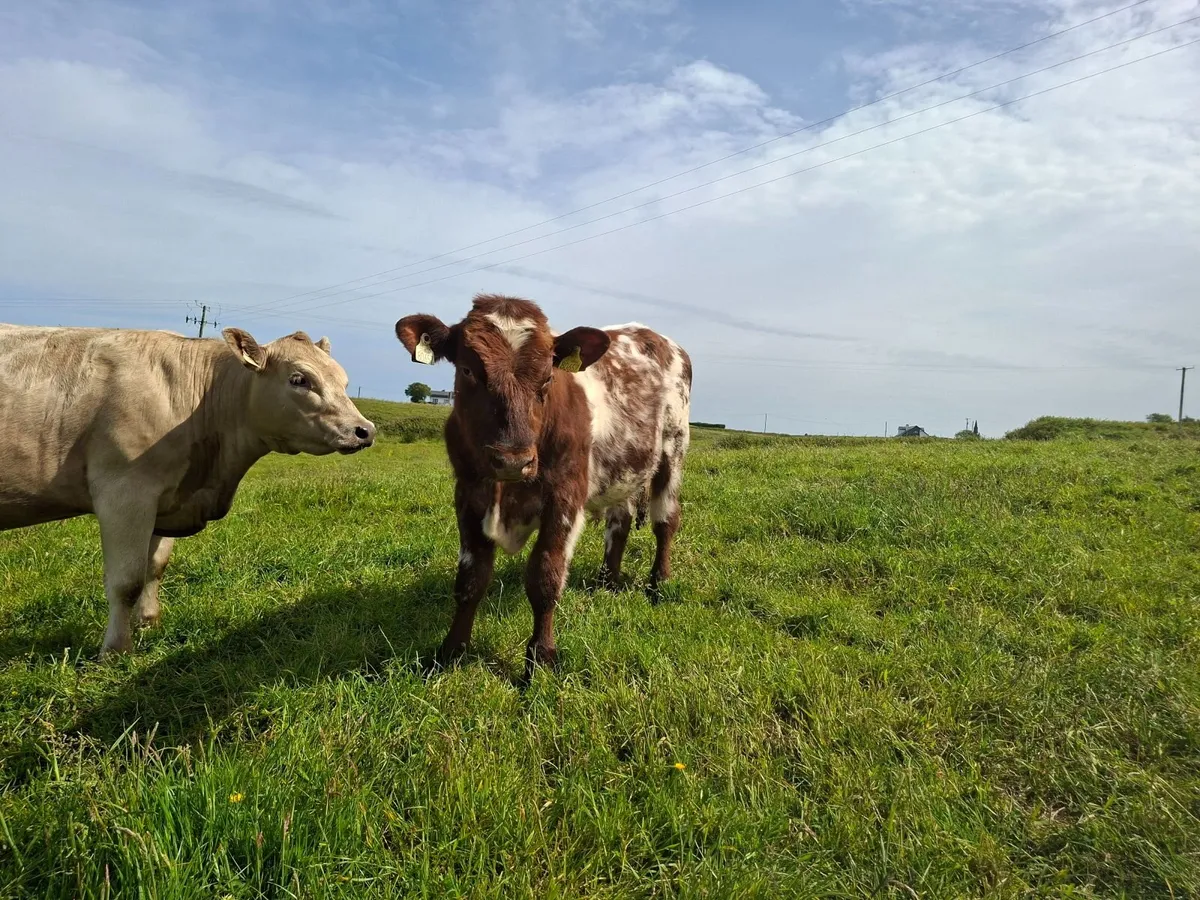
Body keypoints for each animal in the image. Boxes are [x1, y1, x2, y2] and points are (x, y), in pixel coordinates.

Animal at [0, 324, 376, 656]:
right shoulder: (125, 493)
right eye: (299, 379)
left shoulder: (165, 498)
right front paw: (116, 650)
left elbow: (154, 567)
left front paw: (149, 622)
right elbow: (126, 581)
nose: (364, 430)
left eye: (343, 381)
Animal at [395, 293, 691, 677]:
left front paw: (541, 656)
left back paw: (658, 583)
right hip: (622, 468)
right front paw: (452, 650)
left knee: (665, 520)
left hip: (673, 449)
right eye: (468, 370)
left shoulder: (564, 499)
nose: (512, 460)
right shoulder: (468, 497)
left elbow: (545, 577)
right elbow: (471, 578)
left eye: (548, 376)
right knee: (620, 521)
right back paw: (607, 581)